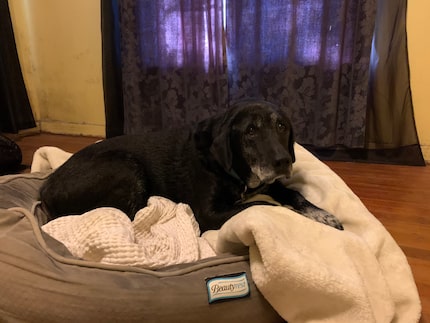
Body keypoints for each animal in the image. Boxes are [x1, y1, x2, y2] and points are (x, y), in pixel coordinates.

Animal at [39, 100, 342, 232]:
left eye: (281, 126)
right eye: (250, 131)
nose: (282, 161)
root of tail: (44, 189)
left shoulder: (270, 184)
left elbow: (293, 194)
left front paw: (323, 216)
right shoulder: (208, 214)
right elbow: (263, 206)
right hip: (125, 167)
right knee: (127, 214)